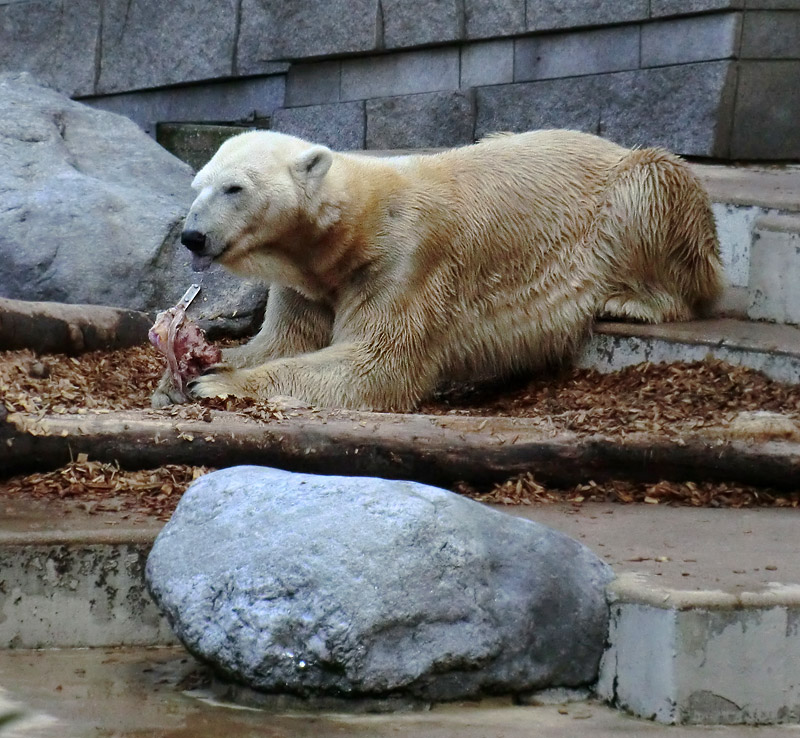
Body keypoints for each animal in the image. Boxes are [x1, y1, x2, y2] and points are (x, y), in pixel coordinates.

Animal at [152, 129, 724, 412]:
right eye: (198, 184)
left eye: (234, 187)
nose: (192, 236)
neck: (356, 224)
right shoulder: (311, 280)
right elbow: (285, 341)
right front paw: (183, 372)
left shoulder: (407, 259)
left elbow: (377, 362)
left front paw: (215, 383)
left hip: (632, 194)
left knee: (656, 182)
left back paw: (633, 300)